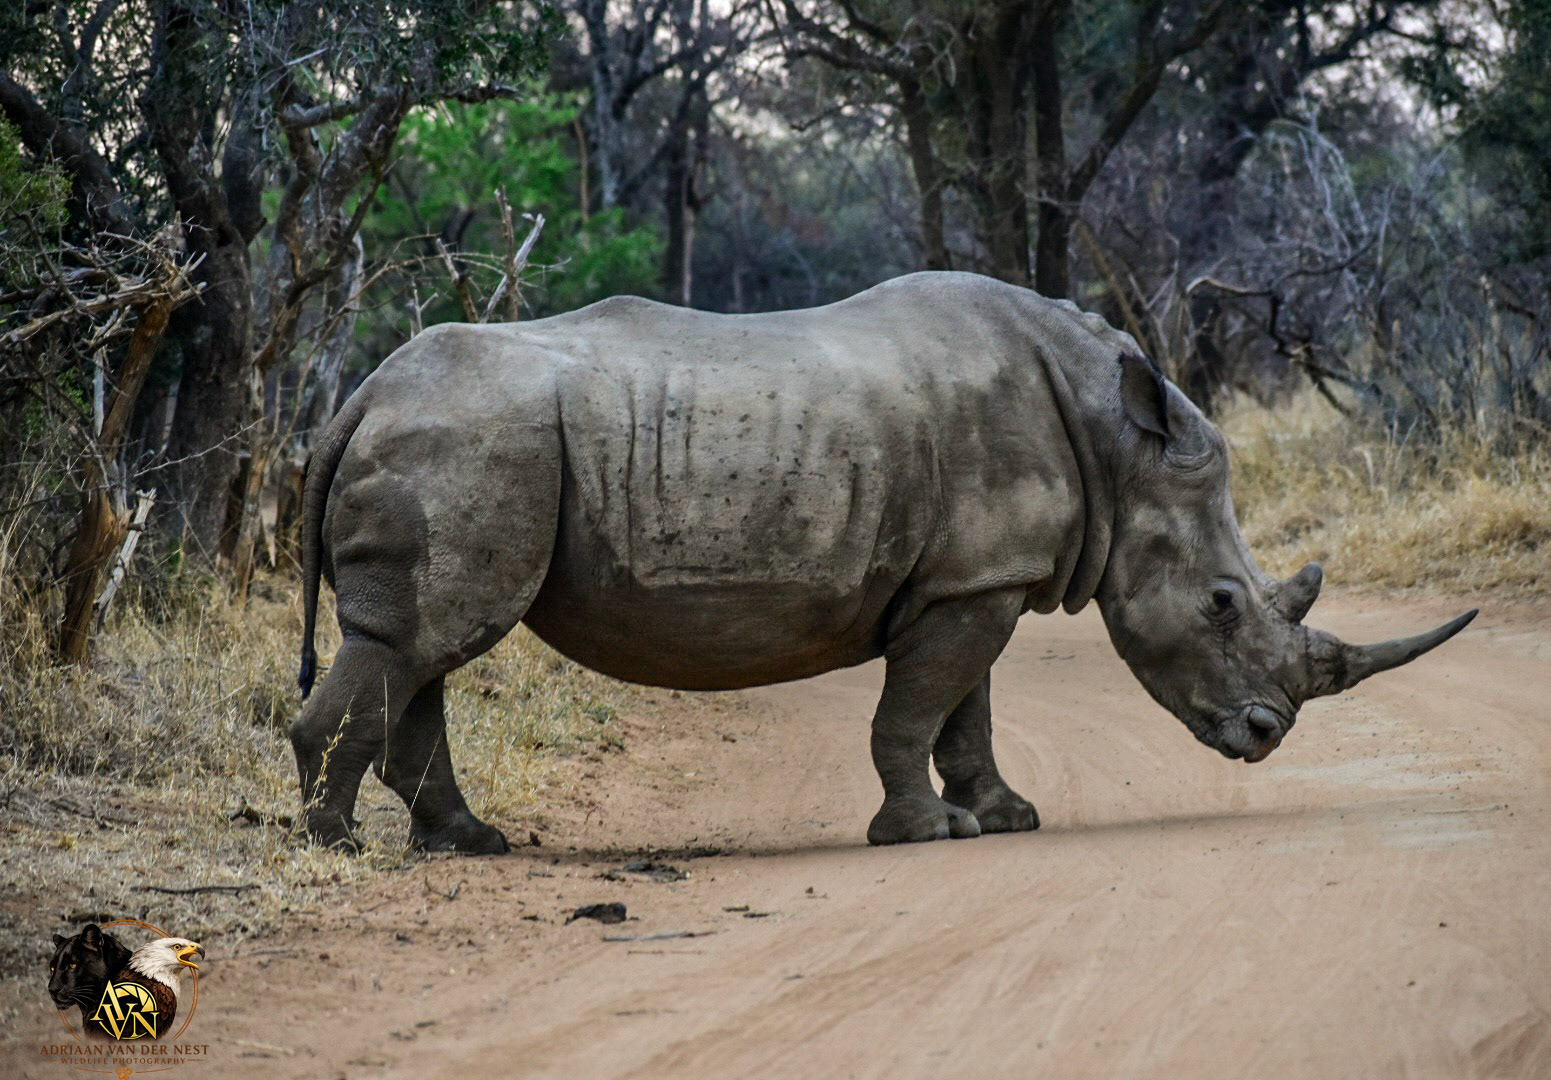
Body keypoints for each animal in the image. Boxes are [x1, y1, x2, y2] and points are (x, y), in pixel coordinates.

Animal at [291, 271, 1475, 852]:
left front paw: (1003, 819)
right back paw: (338, 848)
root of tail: (358, 396)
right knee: (419, 640)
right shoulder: (972, 581)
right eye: (1224, 604)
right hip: (465, 440)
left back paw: (468, 844)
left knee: (425, 646)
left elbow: (967, 707)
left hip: (463, 442)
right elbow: (916, 708)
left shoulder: (976, 574)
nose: (1266, 738)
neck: (1115, 442)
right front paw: (923, 834)